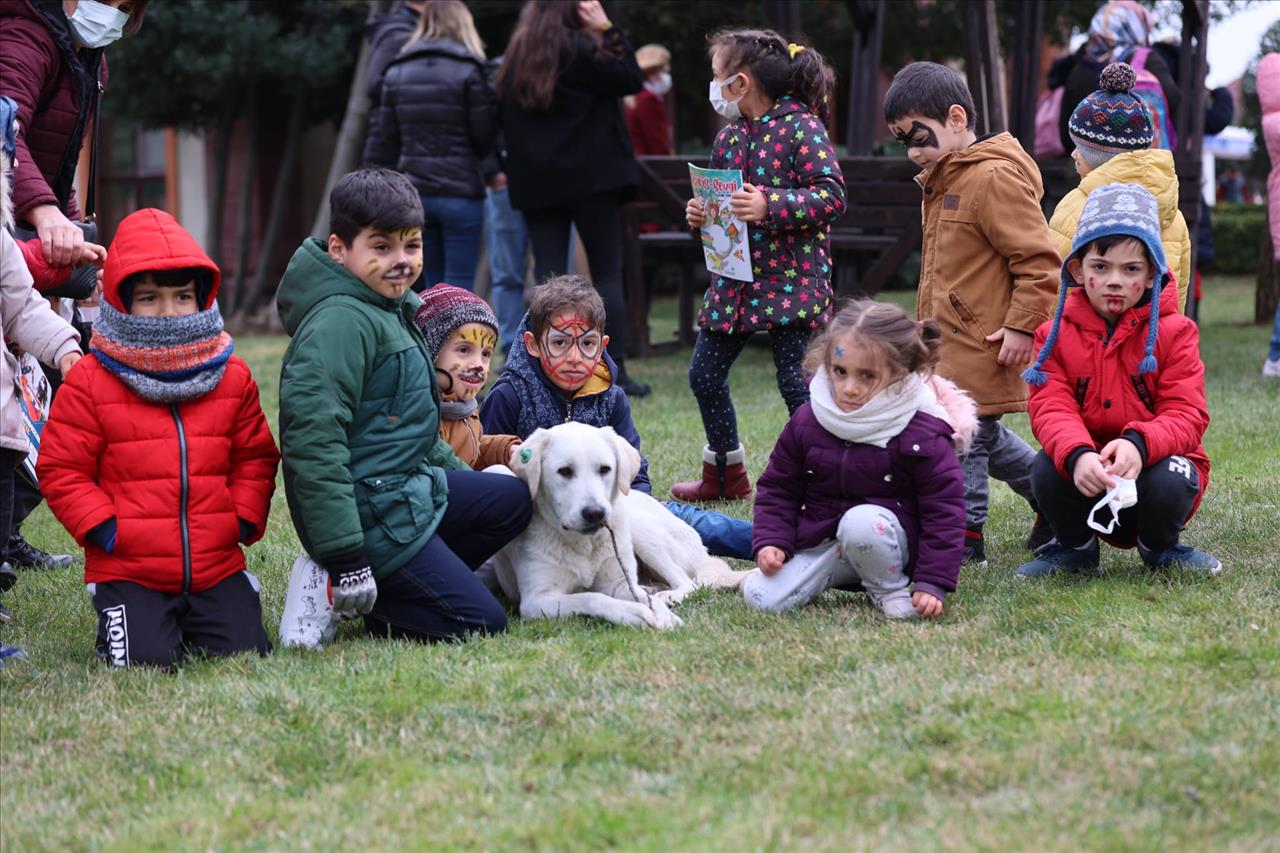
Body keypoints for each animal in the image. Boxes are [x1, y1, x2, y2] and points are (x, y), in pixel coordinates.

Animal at [488, 417, 747, 625]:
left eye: (605, 469)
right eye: (564, 471)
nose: (595, 513)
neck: (584, 546)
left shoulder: (619, 583)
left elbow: (643, 598)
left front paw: (662, 614)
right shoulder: (538, 600)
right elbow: (591, 596)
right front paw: (632, 613)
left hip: (642, 533)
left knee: (688, 582)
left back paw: (669, 595)